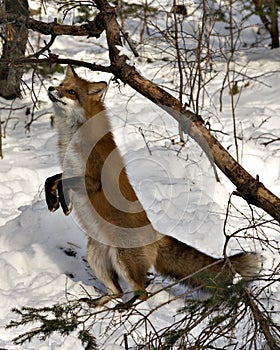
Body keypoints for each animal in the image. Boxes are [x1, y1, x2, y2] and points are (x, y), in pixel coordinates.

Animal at [45, 65, 258, 304]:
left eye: (71, 92)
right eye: (61, 85)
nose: (51, 88)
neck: (72, 138)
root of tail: (156, 235)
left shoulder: (92, 180)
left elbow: (61, 181)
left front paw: (62, 202)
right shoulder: (69, 171)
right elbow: (52, 179)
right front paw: (55, 201)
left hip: (123, 261)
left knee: (141, 292)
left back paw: (126, 309)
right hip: (96, 257)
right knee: (117, 292)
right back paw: (99, 304)